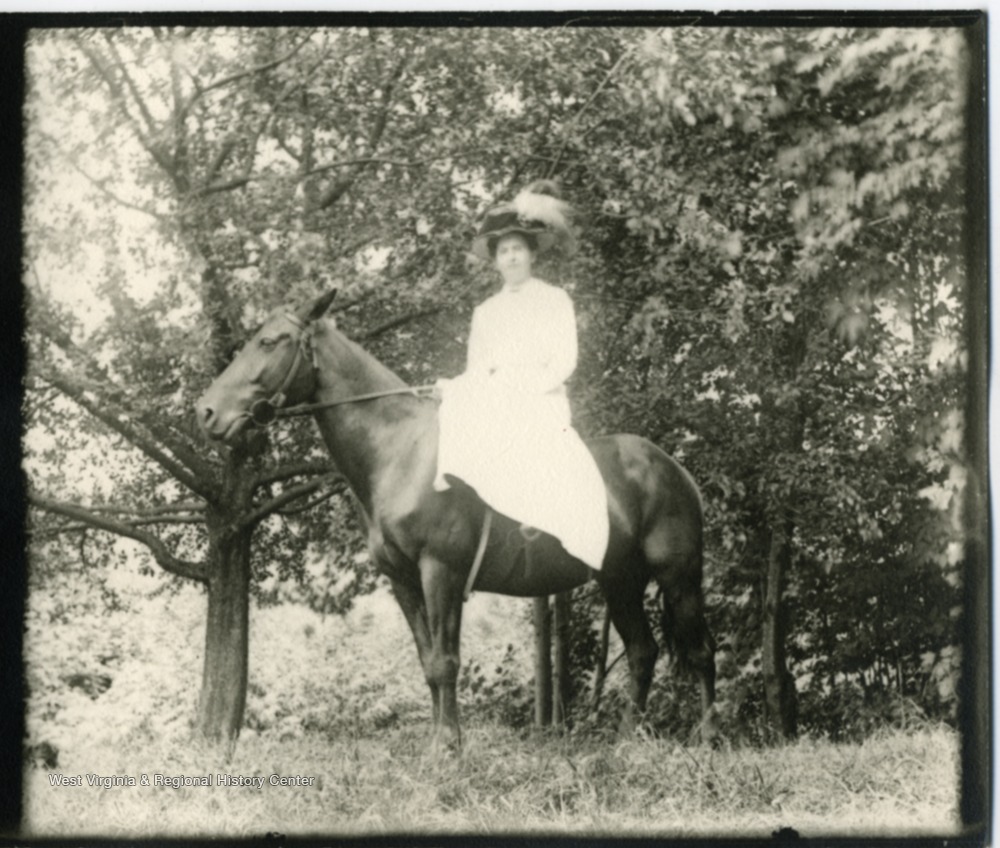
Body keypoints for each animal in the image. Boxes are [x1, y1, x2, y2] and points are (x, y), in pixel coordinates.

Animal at [196, 290, 717, 751]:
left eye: (270, 340)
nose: (206, 412)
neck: (401, 453)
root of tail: (672, 467)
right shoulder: (404, 581)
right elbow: (429, 662)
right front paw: (440, 745)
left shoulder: (440, 571)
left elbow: (446, 662)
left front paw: (449, 747)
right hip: (620, 580)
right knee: (643, 653)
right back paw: (630, 739)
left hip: (679, 576)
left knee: (700, 651)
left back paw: (708, 736)